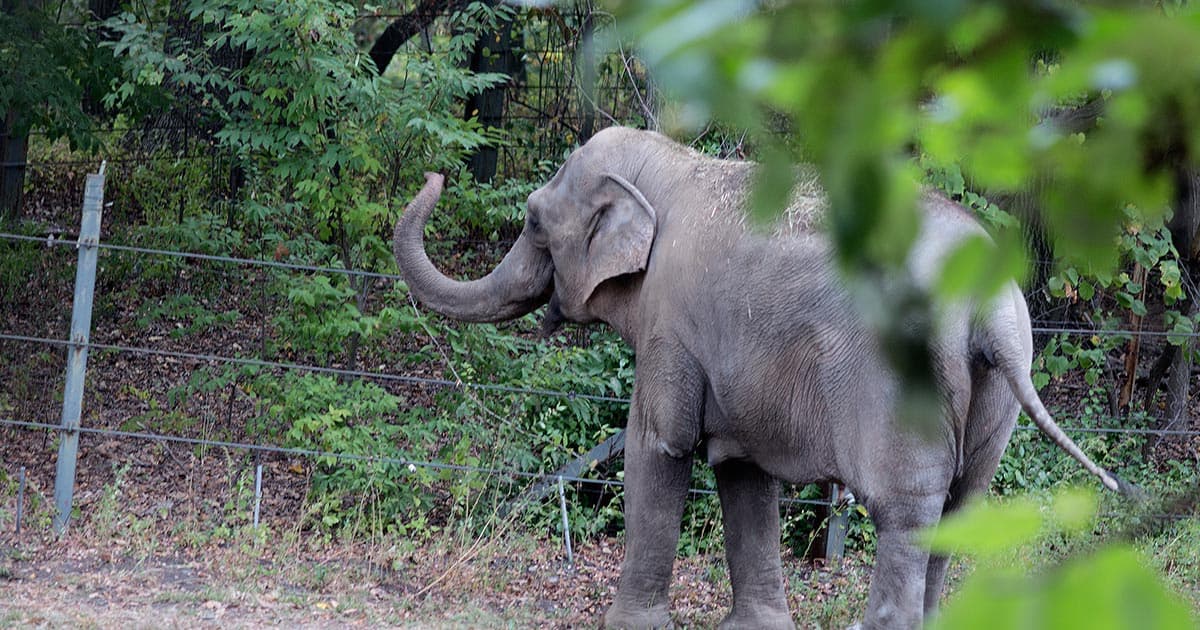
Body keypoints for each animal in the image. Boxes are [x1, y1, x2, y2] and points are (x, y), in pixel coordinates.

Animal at [388, 125, 1118, 624]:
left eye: (535, 221)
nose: (434, 174)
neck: (670, 164)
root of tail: (990, 307)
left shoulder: (671, 324)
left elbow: (658, 448)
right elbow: (741, 468)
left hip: (905, 384)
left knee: (906, 510)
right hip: (995, 396)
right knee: (962, 508)